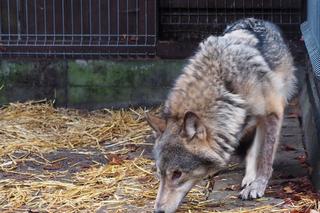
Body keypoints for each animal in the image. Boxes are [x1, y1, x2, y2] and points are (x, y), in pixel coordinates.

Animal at [145, 18, 296, 213]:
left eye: (177, 174)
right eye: (159, 173)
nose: (158, 211)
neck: (225, 85)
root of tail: (258, 20)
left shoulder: (274, 111)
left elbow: (266, 157)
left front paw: (258, 185)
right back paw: (247, 177)